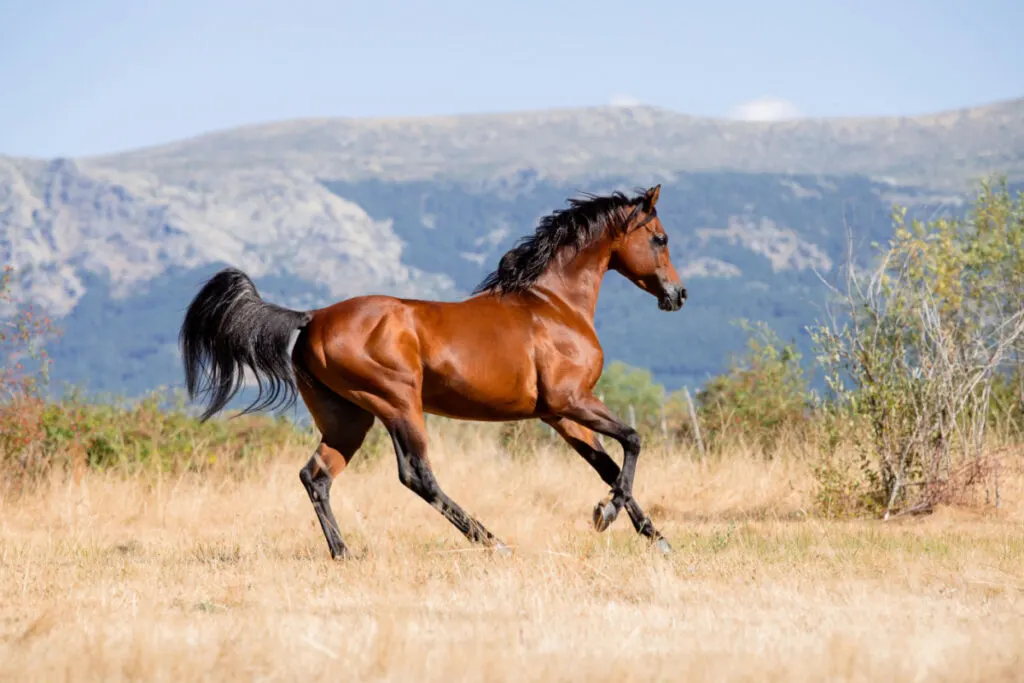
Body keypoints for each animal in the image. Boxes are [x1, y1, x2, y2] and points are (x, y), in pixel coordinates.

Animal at [178, 184, 688, 557]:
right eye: (660, 238)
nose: (678, 295)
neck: (553, 306)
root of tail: (311, 318)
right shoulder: (572, 400)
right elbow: (633, 440)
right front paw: (607, 514)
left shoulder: (560, 414)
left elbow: (607, 464)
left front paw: (654, 535)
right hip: (398, 403)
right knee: (416, 475)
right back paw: (492, 542)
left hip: (348, 418)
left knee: (315, 476)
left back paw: (344, 553)